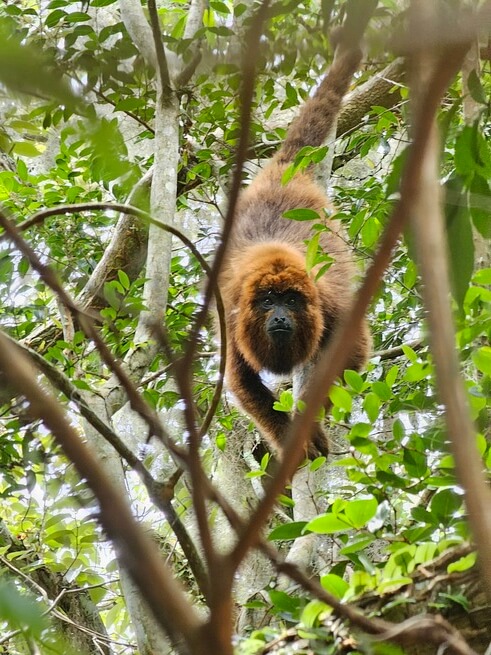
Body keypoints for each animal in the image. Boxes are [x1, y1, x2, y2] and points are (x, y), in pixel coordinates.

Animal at [220, 38, 372, 458]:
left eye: (290, 299)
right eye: (267, 301)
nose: (280, 317)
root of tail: (281, 172)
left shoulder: (326, 301)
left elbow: (350, 352)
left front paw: (310, 425)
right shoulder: (233, 314)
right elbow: (241, 380)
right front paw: (292, 440)